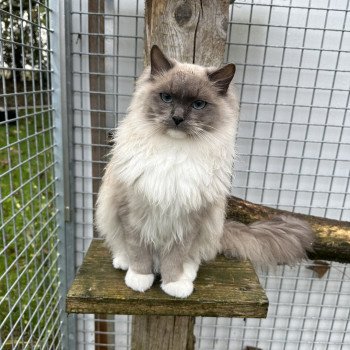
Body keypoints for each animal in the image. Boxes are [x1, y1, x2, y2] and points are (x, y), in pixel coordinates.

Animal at [95, 44, 314, 298]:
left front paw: (174, 285)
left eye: (198, 104)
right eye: (166, 97)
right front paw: (140, 279)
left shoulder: (188, 220)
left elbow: (175, 258)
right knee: (123, 248)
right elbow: (139, 252)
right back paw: (124, 263)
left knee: (193, 258)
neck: (174, 152)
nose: (177, 118)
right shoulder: (132, 213)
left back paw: (186, 276)